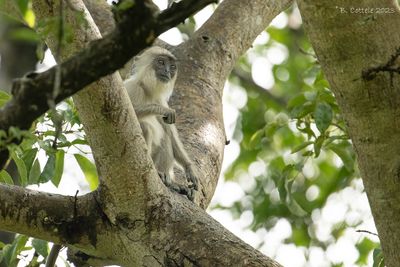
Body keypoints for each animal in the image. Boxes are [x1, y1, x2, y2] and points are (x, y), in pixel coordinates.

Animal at [123, 46, 198, 199]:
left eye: (172, 67)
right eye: (161, 62)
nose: (168, 71)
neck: (148, 91)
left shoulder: (159, 99)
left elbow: (170, 132)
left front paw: (189, 168)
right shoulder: (132, 87)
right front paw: (164, 110)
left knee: (166, 134)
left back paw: (171, 183)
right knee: (145, 127)